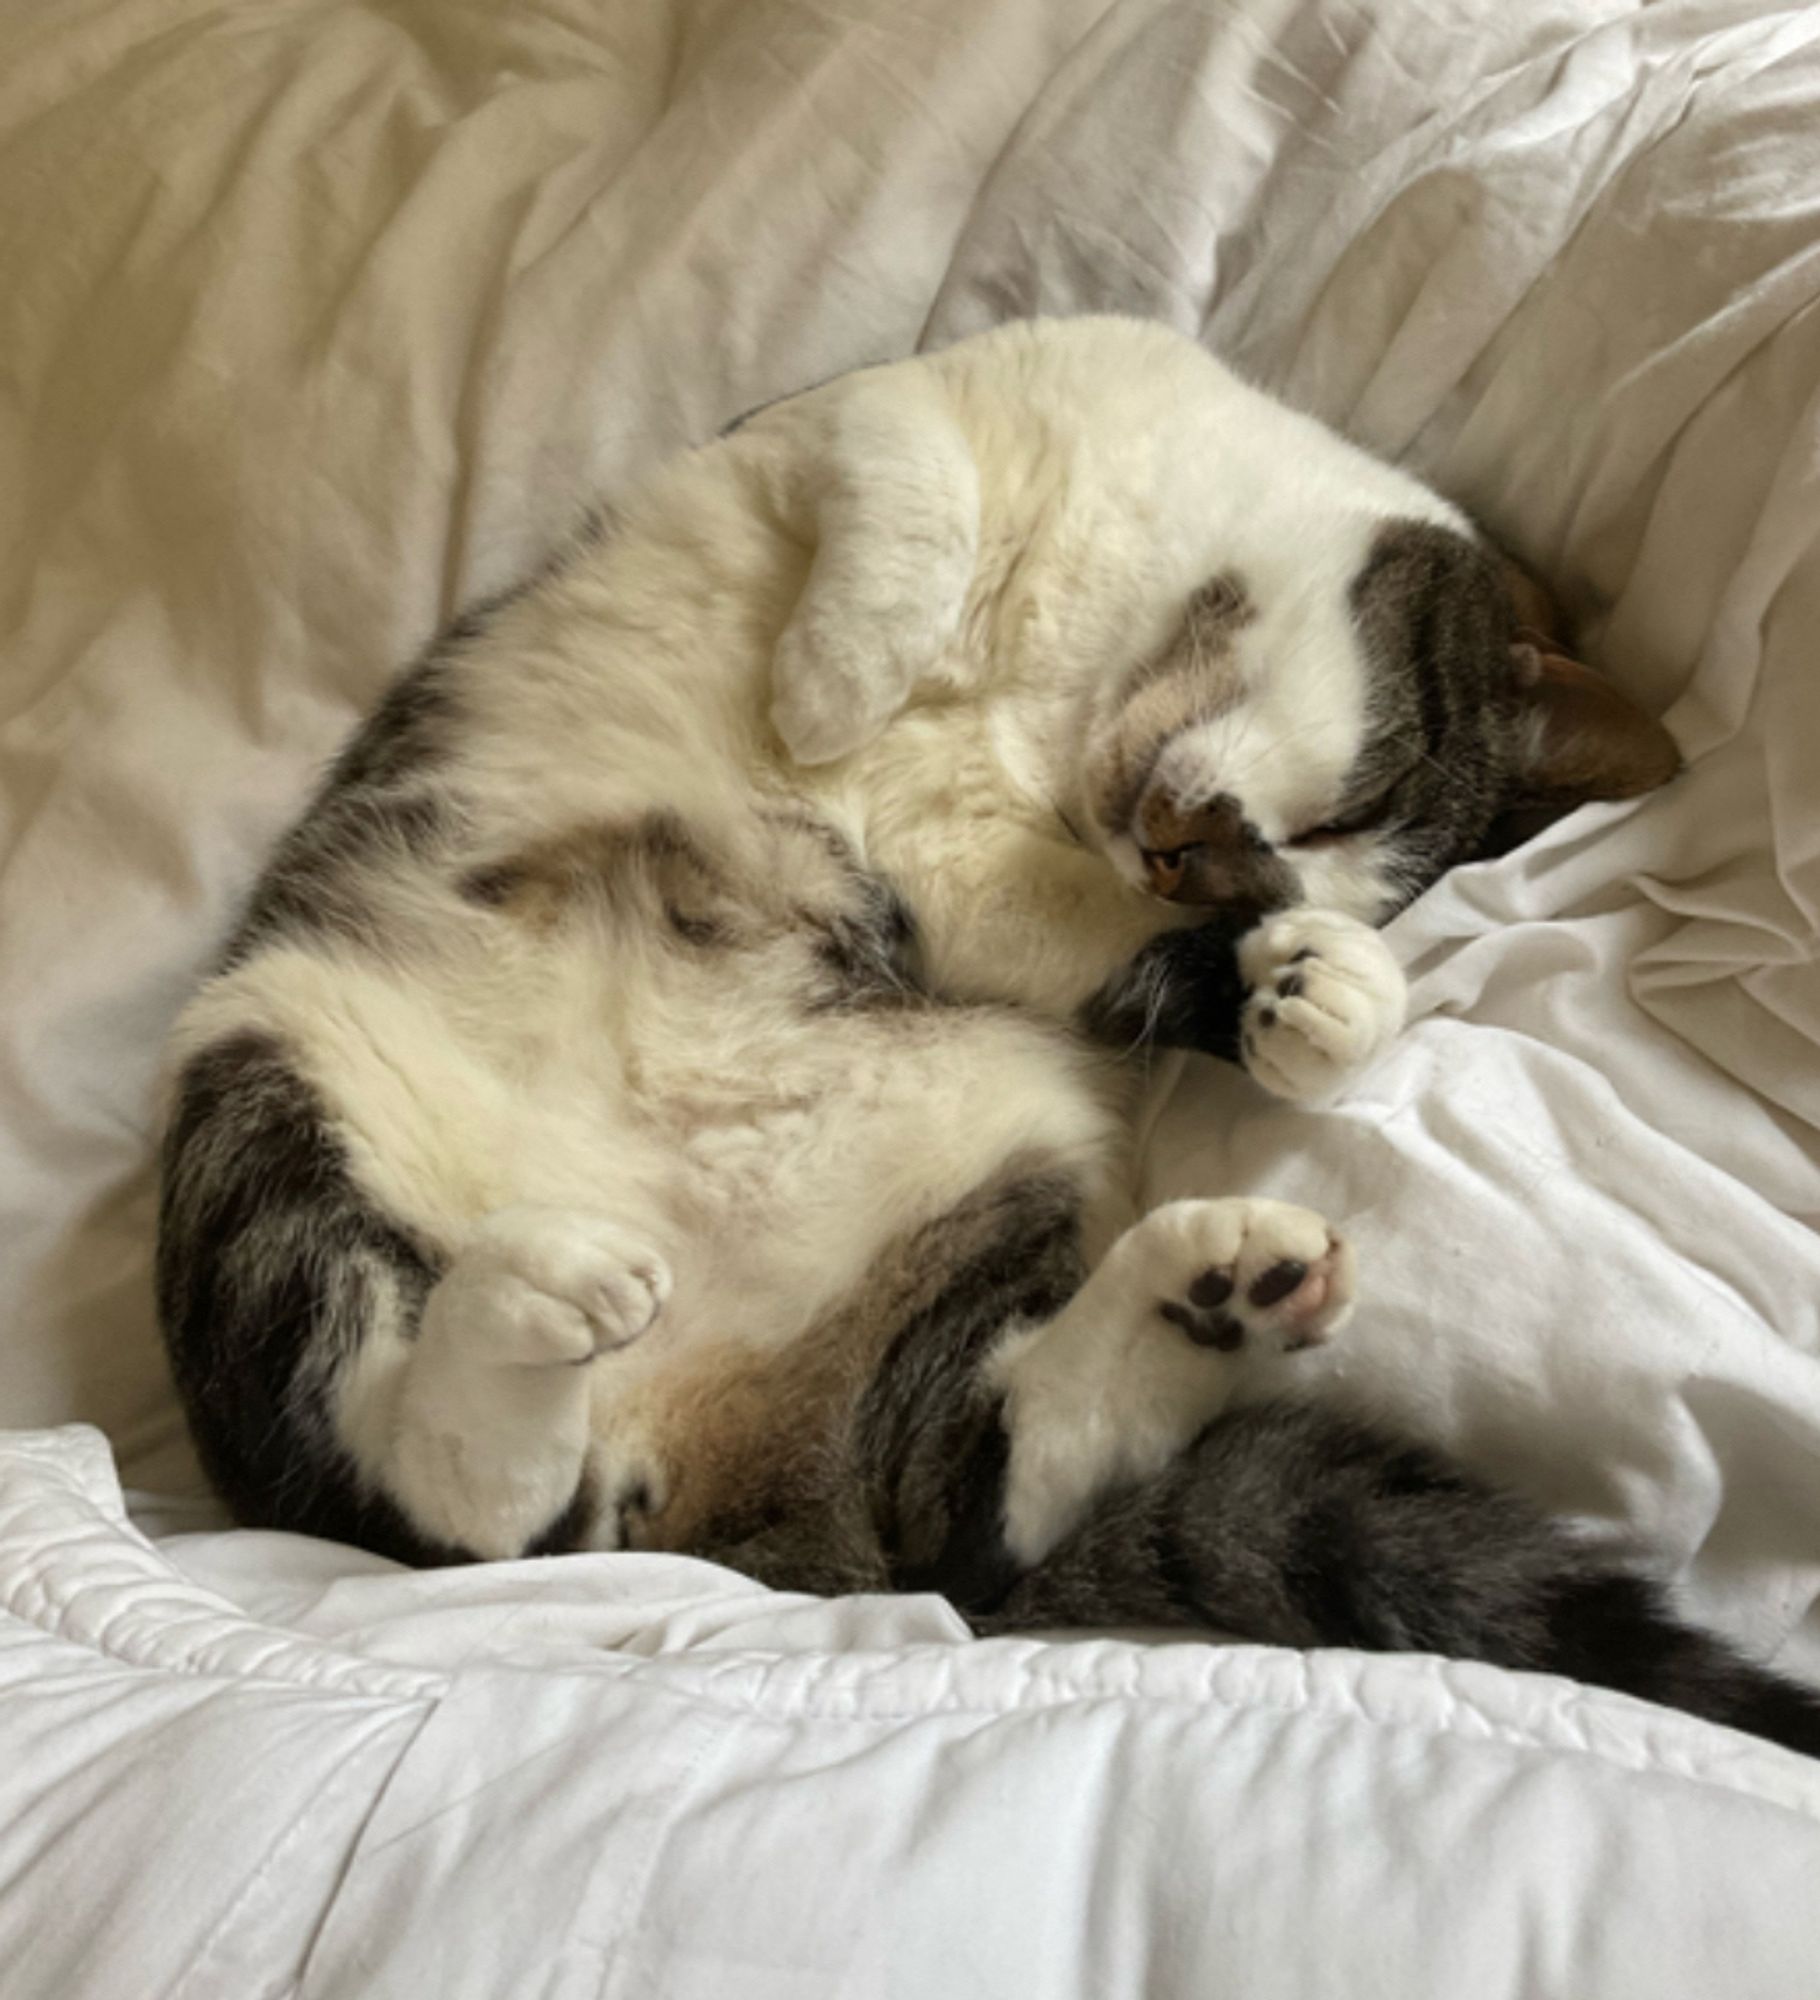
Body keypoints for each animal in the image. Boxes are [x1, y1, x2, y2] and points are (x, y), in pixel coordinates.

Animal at [160, 308, 1820, 1752]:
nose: (1191, 857)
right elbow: (910, 500)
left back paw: (1215, 1292)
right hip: (266, 1080)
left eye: (1293, 868)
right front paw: (834, 687)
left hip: (1007, 1157)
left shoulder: (1002, 923)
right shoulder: (882, 407)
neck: (1081, 679)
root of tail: (686, 1482)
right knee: (432, 1494)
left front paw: (1322, 995)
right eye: (1344, 815)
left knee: (951, 1506)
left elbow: (1117, 955)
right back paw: (534, 1309)